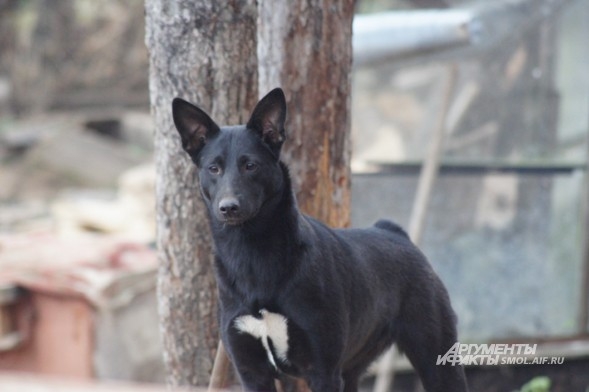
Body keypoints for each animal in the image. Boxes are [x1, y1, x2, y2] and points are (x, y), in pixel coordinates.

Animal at [172, 89, 466, 392]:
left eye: (250, 165)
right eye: (213, 168)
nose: (228, 208)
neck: (253, 256)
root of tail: (393, 232)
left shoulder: (322, 371)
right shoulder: (252, 373)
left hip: (437, 360)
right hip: (351, 371)